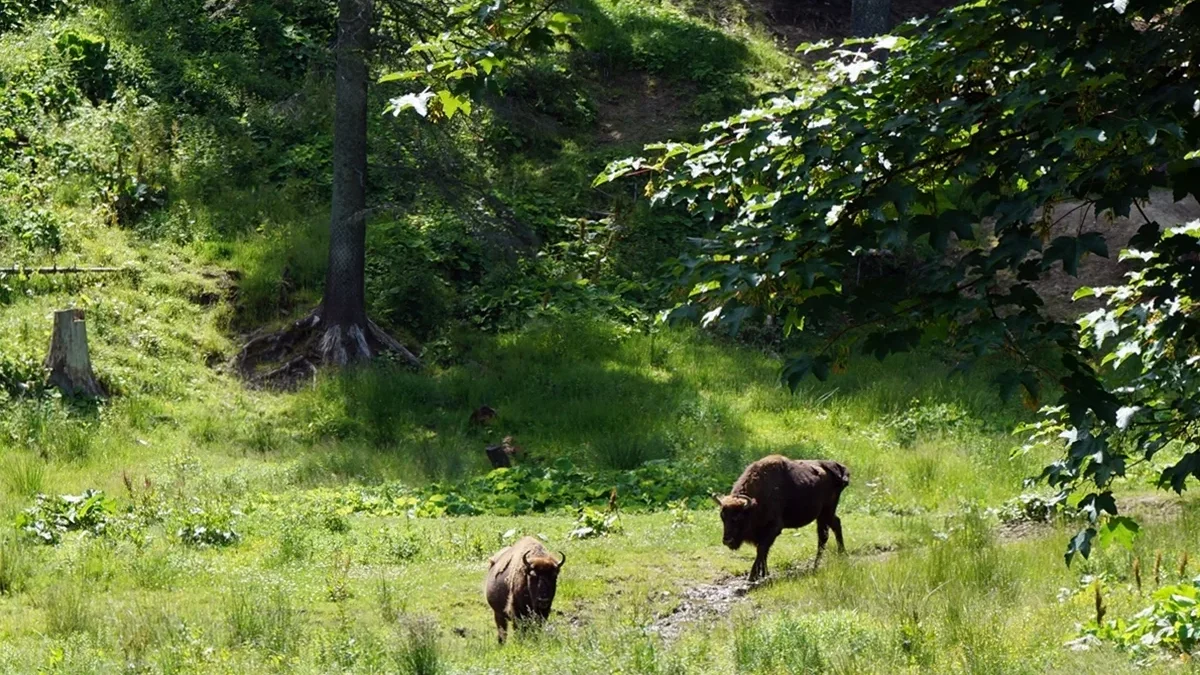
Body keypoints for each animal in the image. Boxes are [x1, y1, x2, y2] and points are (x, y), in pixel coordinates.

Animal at [715, 454, 849, 581]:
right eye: (722, 517)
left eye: (738, 517)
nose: (727, 540)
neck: (754, 504)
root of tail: (838, 467)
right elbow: (763, 552)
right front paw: (763, 573)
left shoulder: (774, 528)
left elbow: (761, 550)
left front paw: (753, 576)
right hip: (823, 515)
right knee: (829, 530)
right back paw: (827, 561)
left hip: (827, 512)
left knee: (827, 533)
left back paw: (828, 560)